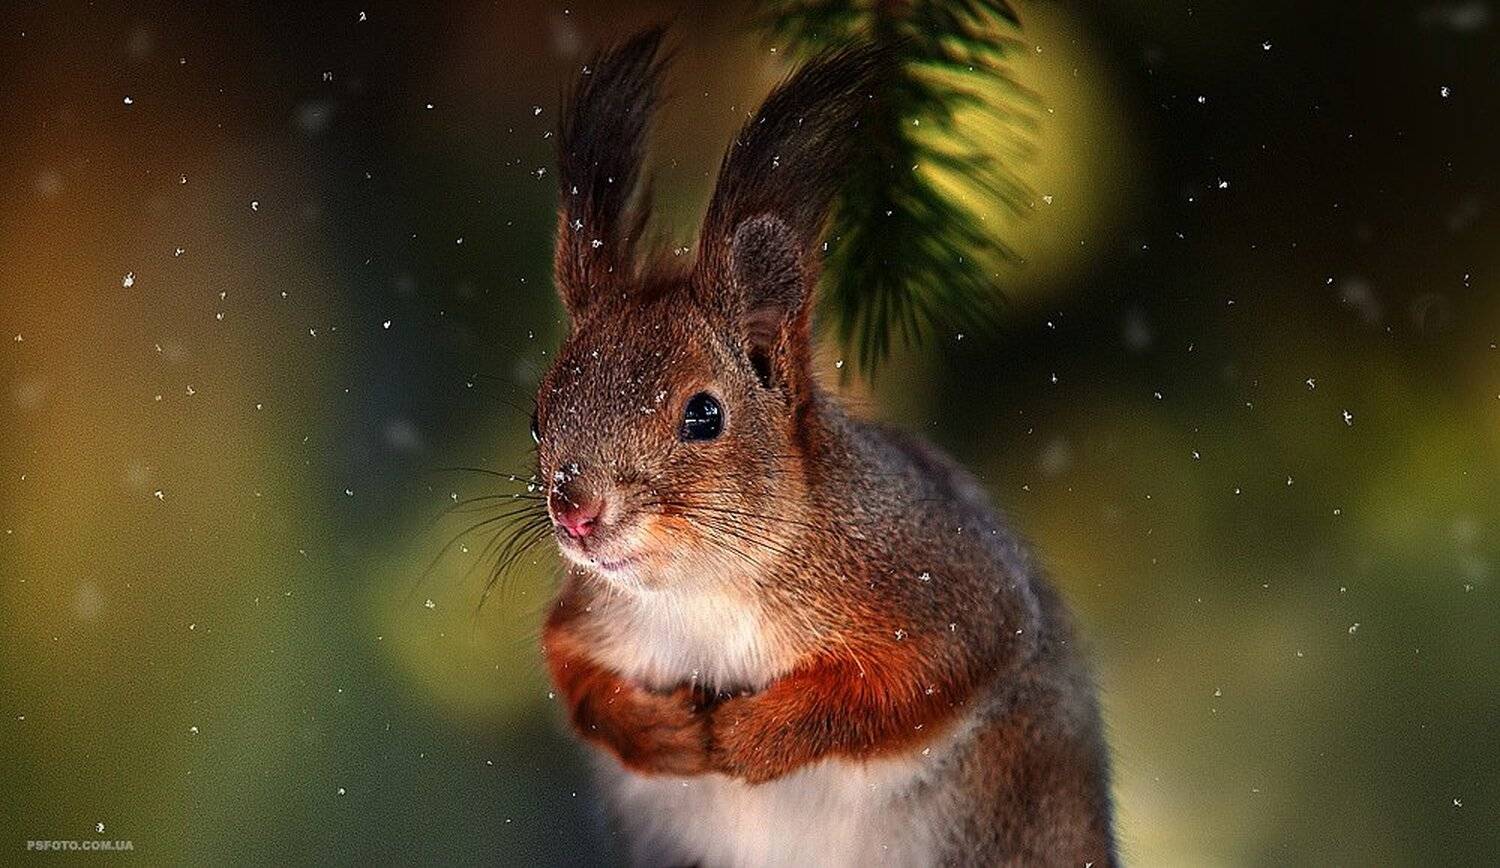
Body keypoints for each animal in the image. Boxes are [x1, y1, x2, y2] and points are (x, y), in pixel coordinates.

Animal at [534, 28, 1116, 867]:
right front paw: (656, 731)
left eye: (703, 415)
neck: (706, 591)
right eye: (538, 416)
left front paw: (756, 734)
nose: (575, 513)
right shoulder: (594, 616)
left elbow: (909, 684)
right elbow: (572, 673)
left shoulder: (938, 584)